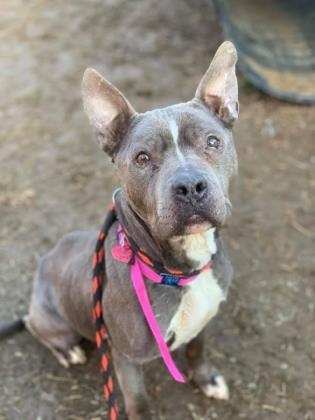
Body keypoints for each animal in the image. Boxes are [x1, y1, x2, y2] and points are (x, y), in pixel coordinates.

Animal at [0, 40, 239, 420]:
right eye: (142, 158)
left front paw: (206, 379)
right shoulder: (127, 357)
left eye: (213, 142)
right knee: (37, 327)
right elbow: (138, 401)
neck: (180, 267)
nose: (190, 186)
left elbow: (197, 349)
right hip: (52, 321)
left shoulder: (204, 319)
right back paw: (66, 350)